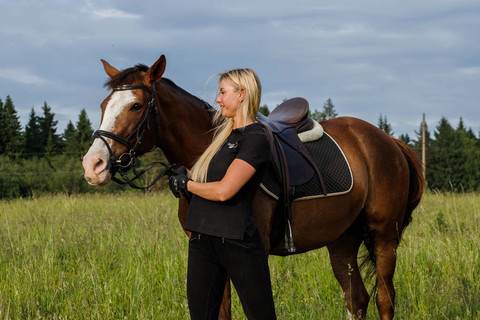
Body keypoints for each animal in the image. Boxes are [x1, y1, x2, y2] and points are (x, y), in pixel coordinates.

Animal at [82, 55, 424, 320]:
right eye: (103, 104)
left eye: (136, 106)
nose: (93, 165)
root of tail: (389, 140)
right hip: (342, 240)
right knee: (357, 300)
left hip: (384, 237)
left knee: (384, 300)